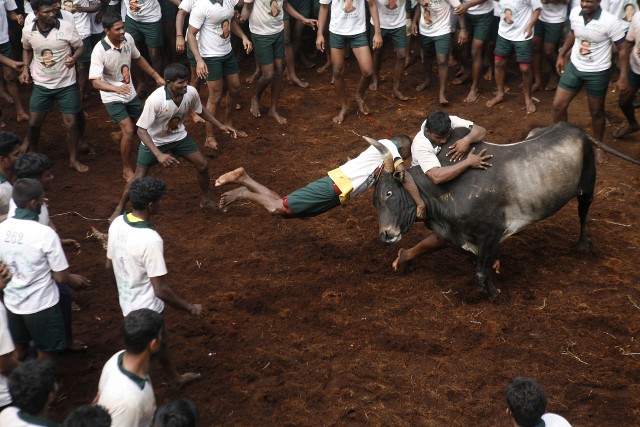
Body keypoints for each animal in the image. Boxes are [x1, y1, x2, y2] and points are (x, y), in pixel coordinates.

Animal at [370, 122, 640, 300]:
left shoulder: (491, 233)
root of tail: (578, 130)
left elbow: (481, 269)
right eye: (375, 200)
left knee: (583, 214)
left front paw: (493, 292)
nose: (385, 234)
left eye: (389, 194)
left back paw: (583, 244)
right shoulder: (457, 234)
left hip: (587, 188)